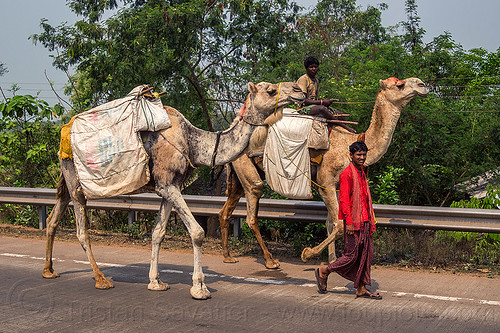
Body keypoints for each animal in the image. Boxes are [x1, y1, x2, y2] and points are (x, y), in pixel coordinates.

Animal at [41, 81, 304, 298]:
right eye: (270, 90)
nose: (299, 90)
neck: (192, 143)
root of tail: (64, 132)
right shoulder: (167, 184)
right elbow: (197, 232)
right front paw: (199, 287)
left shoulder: (169, 186)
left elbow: (158, 233)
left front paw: (156, 282)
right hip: (76, 181)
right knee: (81, 230)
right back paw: (101, 279)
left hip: (66, 181)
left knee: (53, 219)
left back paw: (48, 270)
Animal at [217, 76, 428, 268]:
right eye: (399, 85)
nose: (422, 84)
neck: (349, 144)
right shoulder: (325, 182)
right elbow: (339, 224)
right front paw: (307, 254)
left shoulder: (337, 184)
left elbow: (331, 223)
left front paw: (333, 260)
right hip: (246, 166)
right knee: (252, 207)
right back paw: (270, 260)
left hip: (238, 174)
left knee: (225, 210)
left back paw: (228, 256)